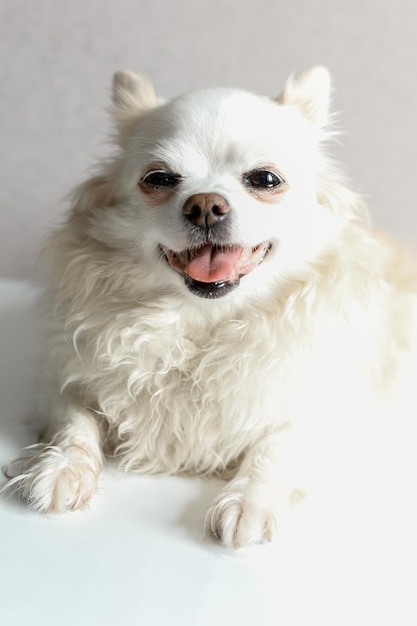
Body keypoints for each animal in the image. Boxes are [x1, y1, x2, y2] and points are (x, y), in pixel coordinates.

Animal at [4, 67, 416, 544]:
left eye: (265, 180)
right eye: (160, 179)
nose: (205, 205)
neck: (201, 321)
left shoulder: (333, 409)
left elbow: (278, 444)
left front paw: (250, 500)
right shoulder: (60, 381)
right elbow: (74, 422)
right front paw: (61, 468)